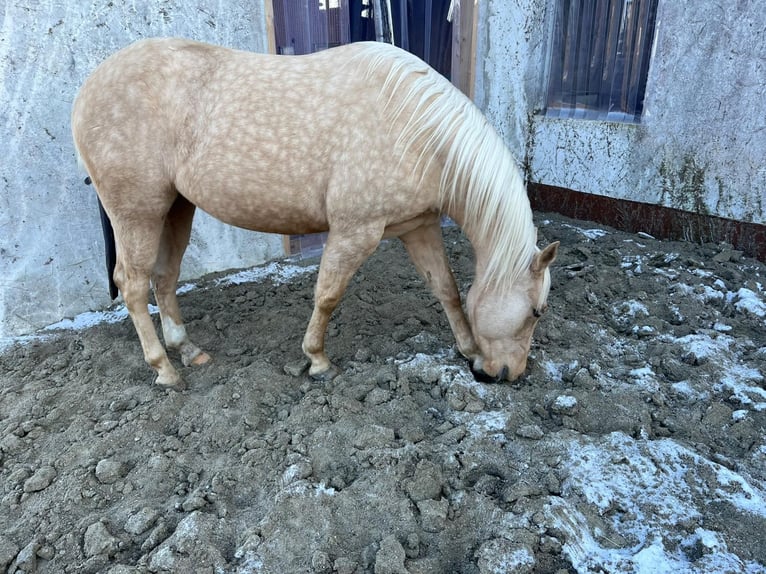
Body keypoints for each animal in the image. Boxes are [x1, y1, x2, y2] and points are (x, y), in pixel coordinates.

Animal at [71, 38, 558, 390]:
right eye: (537, 312)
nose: (506, 374)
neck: (415, 127)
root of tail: (87, 89)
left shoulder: (417, 227)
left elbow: (447, 290)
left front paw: (467, 348)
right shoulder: (355, 231)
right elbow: (327, 295)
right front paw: (318, 360)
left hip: (175, 208)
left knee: (164, 277)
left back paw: (187, 350)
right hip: (138, 212)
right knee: (133, 285)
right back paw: (164, 369)